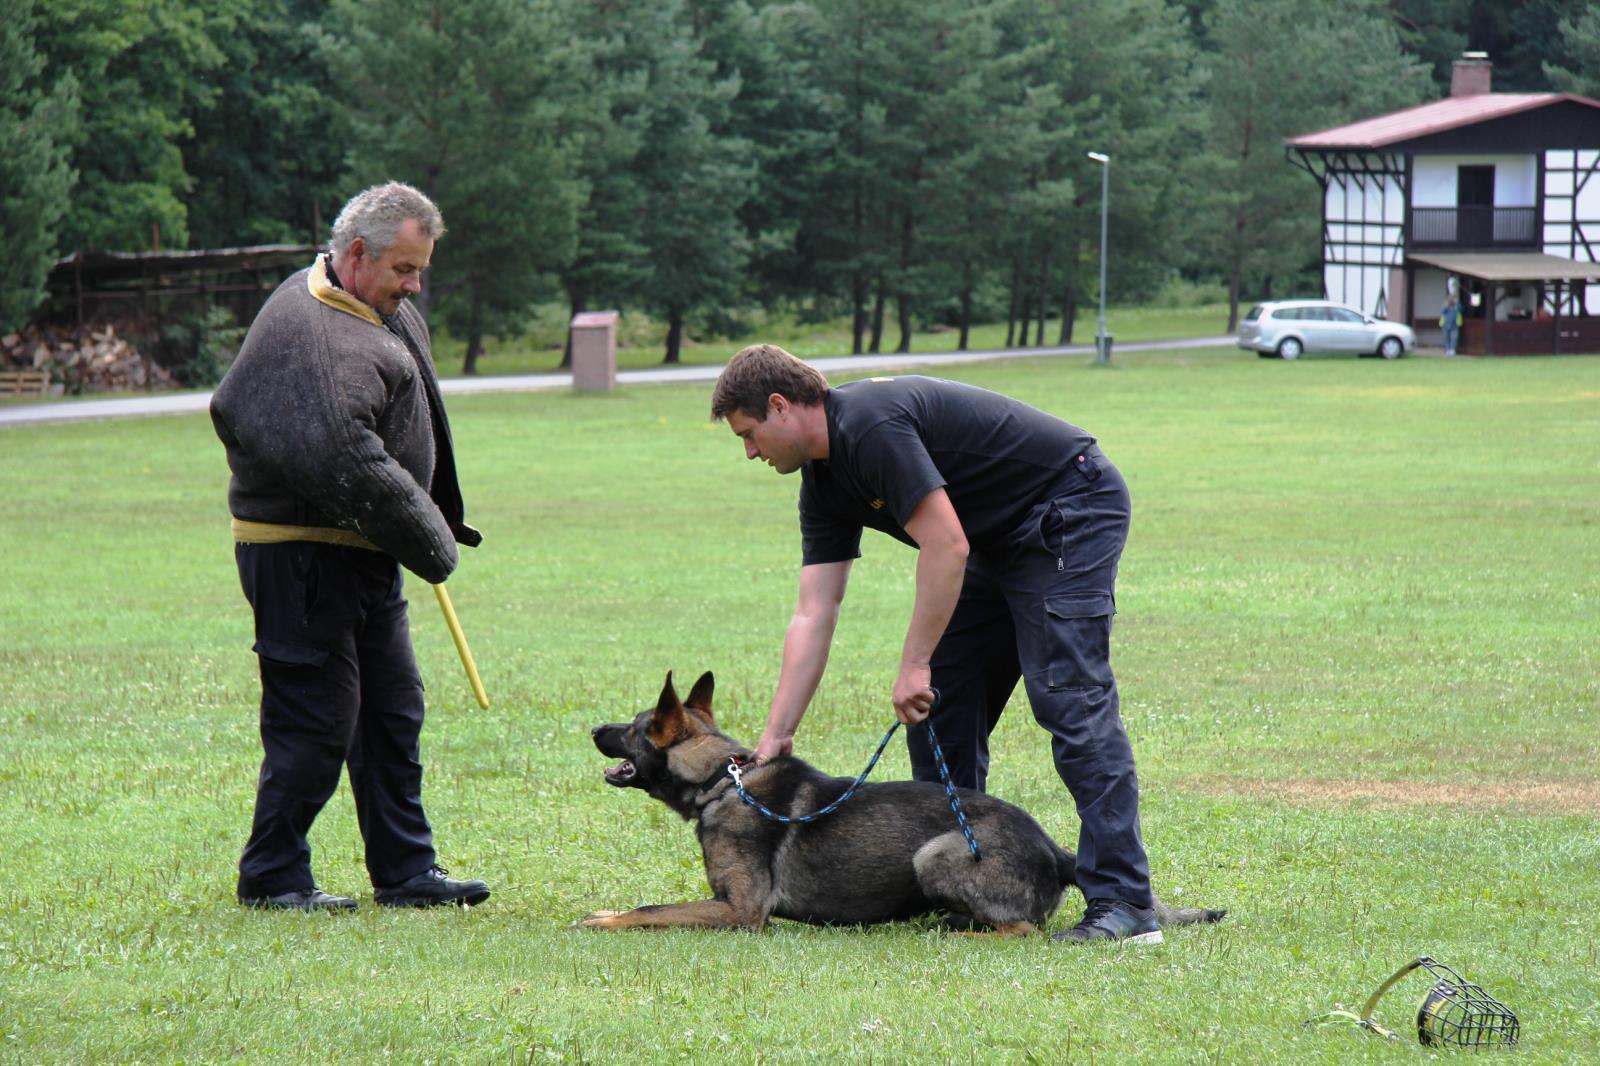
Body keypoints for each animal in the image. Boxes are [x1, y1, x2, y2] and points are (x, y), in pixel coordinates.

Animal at [588, 669, 1222, 934]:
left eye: (635, 728)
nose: (594, 727)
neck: (722, 780)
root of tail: (1056, 849)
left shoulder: (742, 913)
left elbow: (652, 910)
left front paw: (605, 919)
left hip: (935, 855)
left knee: (1022, 931)